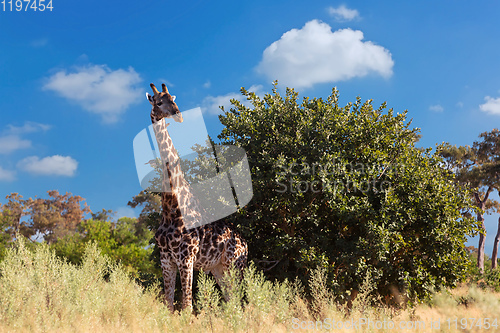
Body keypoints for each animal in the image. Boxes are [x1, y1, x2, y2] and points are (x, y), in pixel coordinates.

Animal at [146, 81, 247, 310]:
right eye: (158, 102)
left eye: (173, 99)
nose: (178, 115)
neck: (171, 206)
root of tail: (246, 244)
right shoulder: (166, 259)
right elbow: (169, 304)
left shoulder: (186, 258)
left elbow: (187, 305)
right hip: (219, 269)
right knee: (231, 300)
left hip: (235, 265)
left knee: (242, 300)